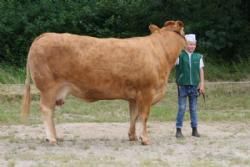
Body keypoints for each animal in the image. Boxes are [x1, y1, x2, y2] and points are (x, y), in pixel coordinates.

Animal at [21, 19, 186, 145]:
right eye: (184, 33)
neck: (161, 51)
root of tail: (46, 35)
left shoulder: (134, 96)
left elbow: (133, 116)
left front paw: (132, 136)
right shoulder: (147, 92)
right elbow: (144, 116)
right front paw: (144, 139)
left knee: (51, 111)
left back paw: (56, 136)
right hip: (48, 87)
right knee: (46, 110)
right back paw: (52, 138)